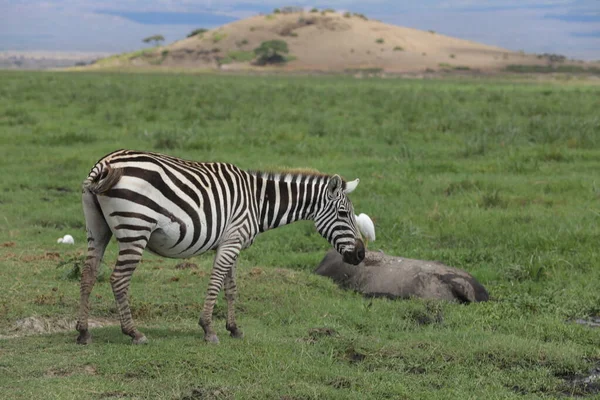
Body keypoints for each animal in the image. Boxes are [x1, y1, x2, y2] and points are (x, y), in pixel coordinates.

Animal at [76, 149, 366, 344]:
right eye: (343, 214)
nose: (361, 254)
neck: (259, 202)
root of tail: (104, 163)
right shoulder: (232, 241)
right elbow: (216, 282)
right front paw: (208, 329)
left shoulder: (230, 243)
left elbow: (231, 288)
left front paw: (234, 328)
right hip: (135, 228)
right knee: (118, 279)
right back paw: (133, 332)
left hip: (97, 228)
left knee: (88, 274)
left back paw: (83, 332)